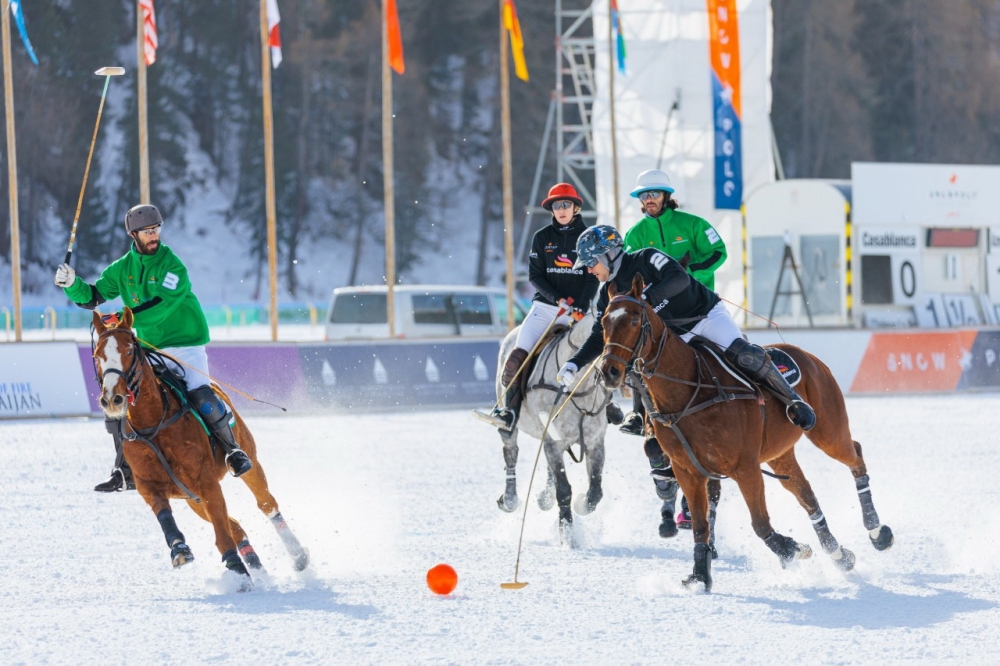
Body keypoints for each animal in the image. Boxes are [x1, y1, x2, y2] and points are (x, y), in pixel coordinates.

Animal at [91, 308, 308, 588]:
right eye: (97, 355)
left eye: (129, 350)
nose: (112, 399)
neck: (152, 422)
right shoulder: (149, 486)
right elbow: (168, 519)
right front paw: (180, 550)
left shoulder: (205, 481)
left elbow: (222, 534)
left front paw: (238, 573)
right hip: (191, 497)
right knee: (235, 525)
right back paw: (257, 568)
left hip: (247, 461)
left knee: (266, 504)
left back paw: (297, 556)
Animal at [494, 314, 616, 544]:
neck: (577, 388)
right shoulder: (554, 442)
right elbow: (564, 490)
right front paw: (568, 535)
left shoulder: (595, 441)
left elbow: (595, 491)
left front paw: (579, 504)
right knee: (510, 449)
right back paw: (509, 500)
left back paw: (544, 498)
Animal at [596, 274, 896, 592]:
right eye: (603, 321)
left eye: (634, 320)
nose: (609, 371)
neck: (690, 391)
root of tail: (807, 355)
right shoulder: (688, 470)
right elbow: (700, 526)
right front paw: (700, 577)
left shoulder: (745, 468)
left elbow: (761, 524)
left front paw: (793, 549)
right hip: (780, 455)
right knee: (807, 495)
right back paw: (840, 555)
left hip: (828, 431)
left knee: (855, 456)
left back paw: (877, 532)